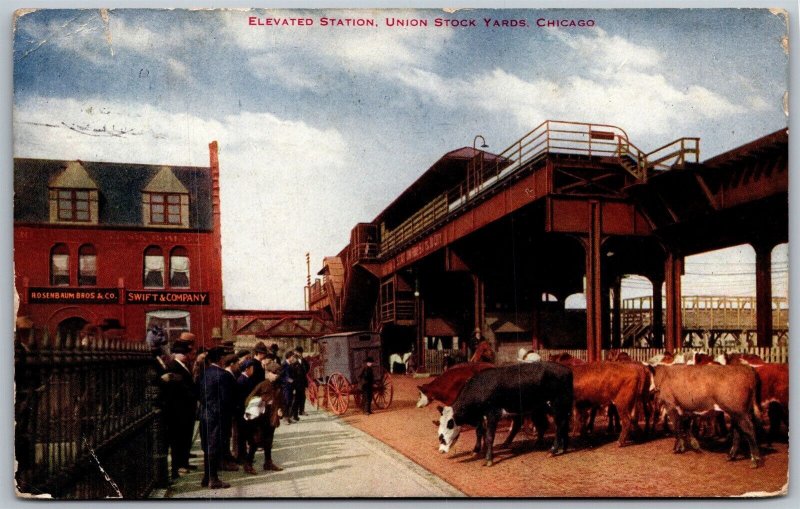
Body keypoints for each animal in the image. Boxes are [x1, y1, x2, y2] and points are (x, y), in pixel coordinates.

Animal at [434, 362, 572, 464]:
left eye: (442, 436)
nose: (441, 450)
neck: (480, 387)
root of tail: (566, 370)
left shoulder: (492, 415)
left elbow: (489, 436)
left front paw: (489, 459)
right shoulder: (480, 417)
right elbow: (479, 432)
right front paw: (477, 450)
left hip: (557, 404)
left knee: (559, 425)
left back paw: (553, 450)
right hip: (542, 408)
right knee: (551, 424)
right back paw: (560, 448)